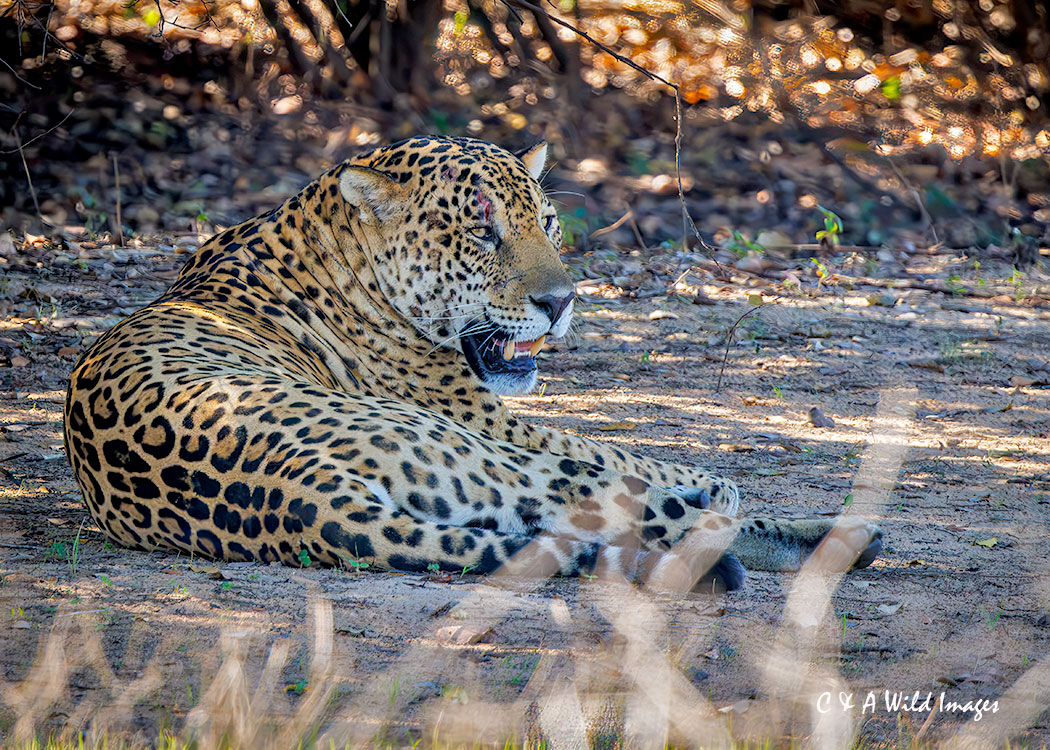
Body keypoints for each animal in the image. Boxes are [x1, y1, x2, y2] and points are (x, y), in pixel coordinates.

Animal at [63, 135, 882, 592]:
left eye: (547, 222)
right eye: (481, 232)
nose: (561, 301)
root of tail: (302, 501)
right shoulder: (507, 424)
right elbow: (656, 461)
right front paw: (713, 478)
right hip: (489, 456)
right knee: (657, 506)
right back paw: (835, 537)